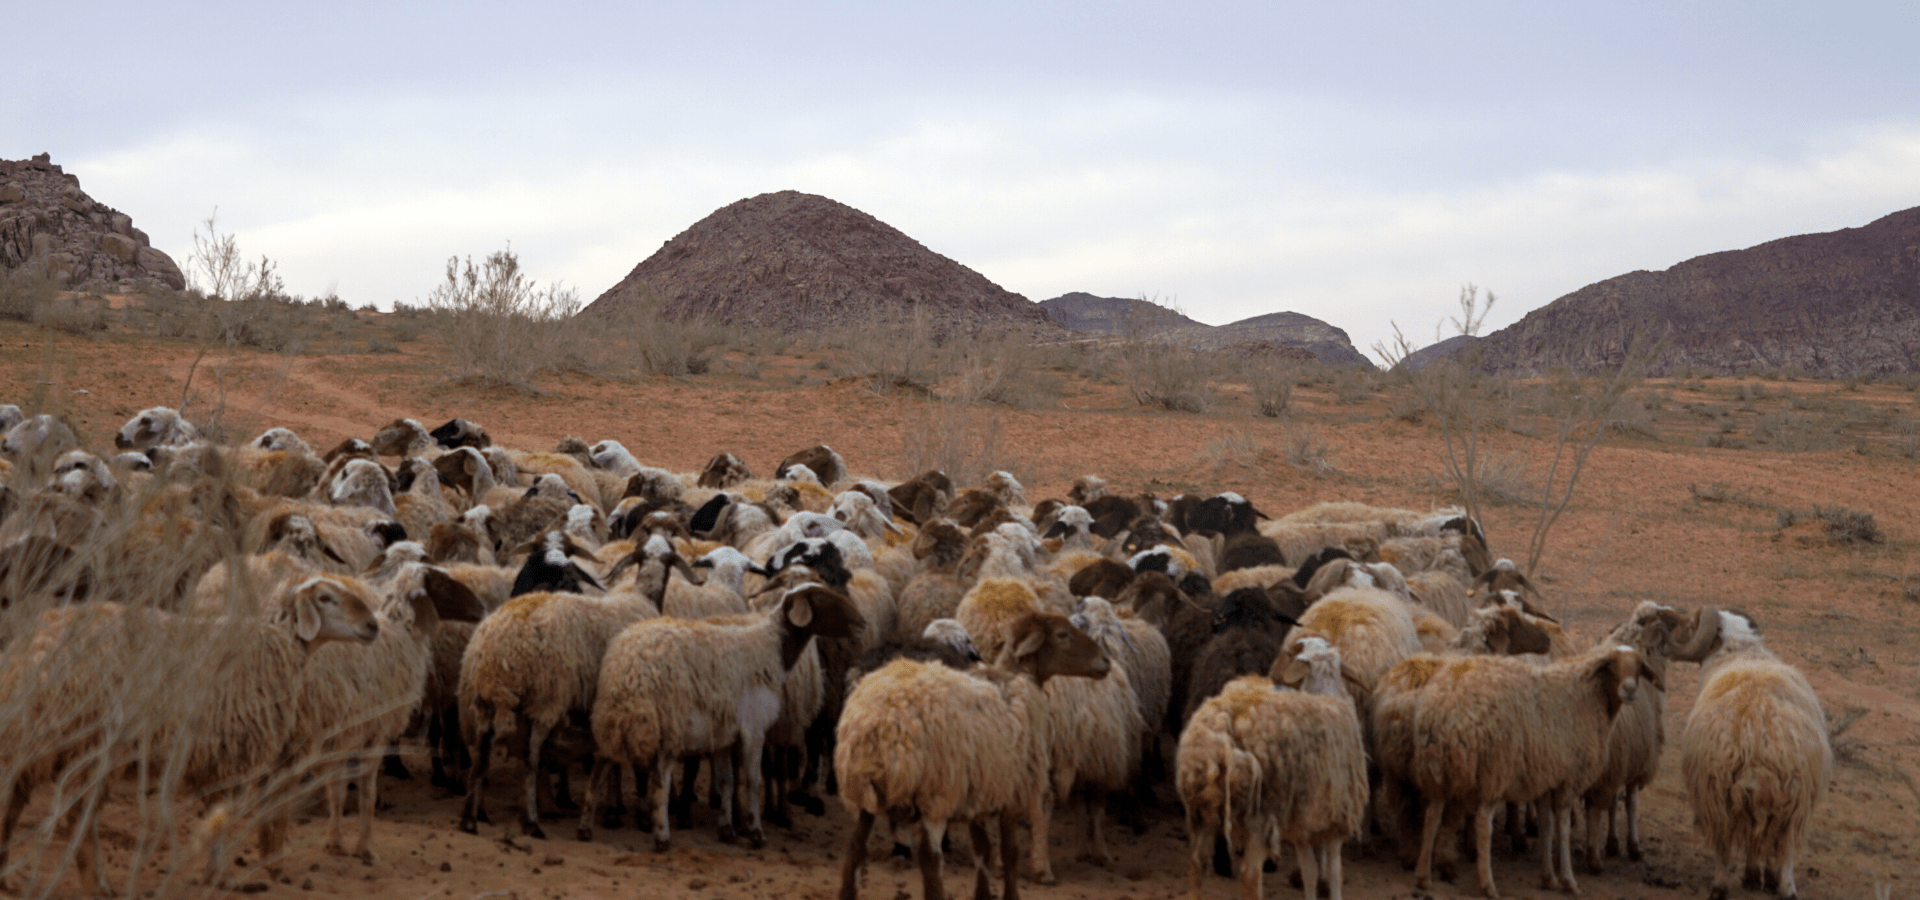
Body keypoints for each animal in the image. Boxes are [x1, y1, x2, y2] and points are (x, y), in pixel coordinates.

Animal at [576, 583, 864, 848]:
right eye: (823, 598)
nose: (862, 623)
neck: (772, 648)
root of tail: (628, 668)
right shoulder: (754, 728)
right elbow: (752, 781)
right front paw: (755, 832)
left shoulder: (724, 734)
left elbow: (727, 781)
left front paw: (727, 828)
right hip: (666, 721)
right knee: (660, 777)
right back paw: (662, 836)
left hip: (616, 718)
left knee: (599, 765)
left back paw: (586, 827)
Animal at [1405, 640, 1658, 894]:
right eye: (1612, 664)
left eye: (1638, 666)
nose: (1630, 690)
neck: (1589, 697)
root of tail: (1444, 708)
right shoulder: (1569, 779)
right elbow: (1563, 828)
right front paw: (1568, 880)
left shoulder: (1546, 779)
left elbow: (1547, 826)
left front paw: (1548, 878)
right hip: (1494, 769)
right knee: (1483, 823)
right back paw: (1487, 885)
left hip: (1438, 769)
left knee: (1432, 816)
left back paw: (1423, 876)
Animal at [1666, 602, 1827, 898]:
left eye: (1692, 624)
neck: (1740, 652)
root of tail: (1756, 736)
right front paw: (1758, 877)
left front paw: (1754, 876)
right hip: (1793, 797)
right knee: (1781, 844)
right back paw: (1784, 887)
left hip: (1717, 791)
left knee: (1726, 845)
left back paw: (1721, 886)